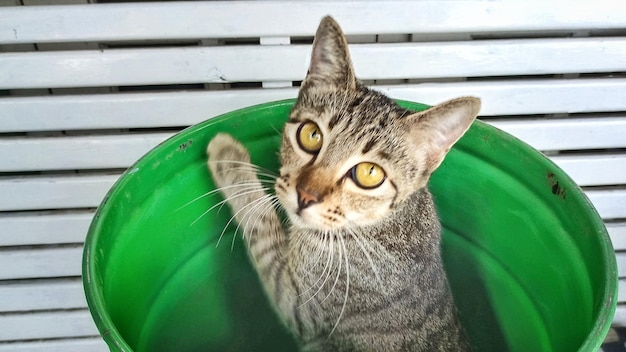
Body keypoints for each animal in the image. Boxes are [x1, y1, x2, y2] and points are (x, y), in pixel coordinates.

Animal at [206, 15, 478, 350]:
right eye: (311, 135)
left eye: (369, 174)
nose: (305, 195)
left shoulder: (301, 306)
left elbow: (262, 225)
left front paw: (227, 155)